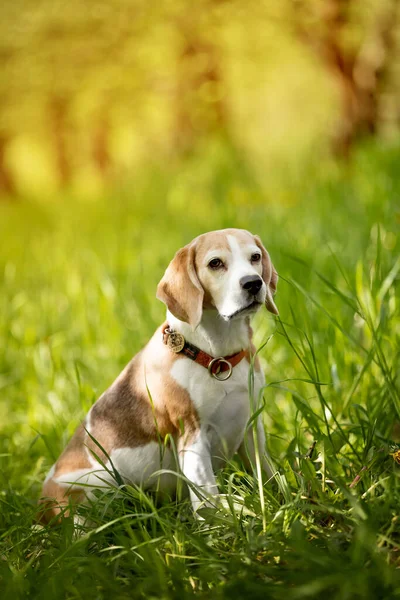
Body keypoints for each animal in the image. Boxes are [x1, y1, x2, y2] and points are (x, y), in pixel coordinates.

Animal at [39, 227, 278, 524]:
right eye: (215, 263)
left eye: (255, 257)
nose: (253, 283)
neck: (217, 357)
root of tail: (40, 509)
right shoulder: (192, 437)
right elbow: (206, 497)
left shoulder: (252, 426)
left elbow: (267, 475)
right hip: (93, 486)